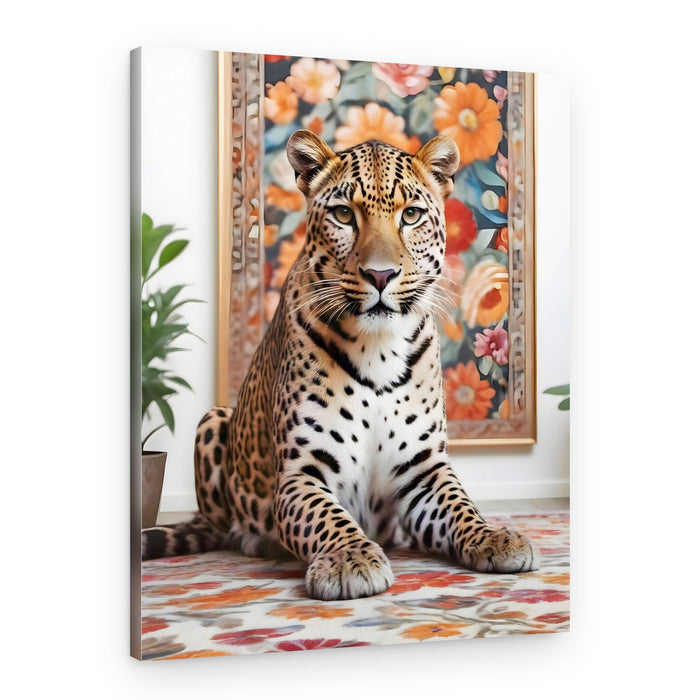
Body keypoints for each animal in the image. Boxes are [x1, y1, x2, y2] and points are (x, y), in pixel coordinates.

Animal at [141, 130, 540, 600]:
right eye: (343, 214)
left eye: (411, 215)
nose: (381, 275)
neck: (380, 349)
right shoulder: (301, 473)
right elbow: (326, 518)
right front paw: (350, 559)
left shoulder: (423, 469)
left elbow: (462, 506)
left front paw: (494, 536)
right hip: (213, 420)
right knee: (220, 526)